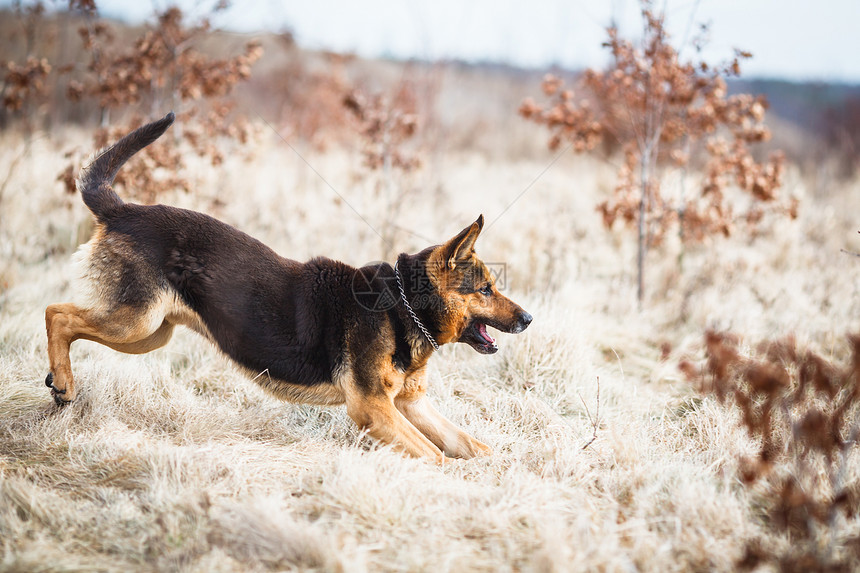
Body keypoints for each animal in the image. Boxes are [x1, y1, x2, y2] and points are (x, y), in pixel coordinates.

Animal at [47, 114, 536, 462]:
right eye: (486, 289)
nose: (530, 319)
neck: (401, 307)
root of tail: (123, 210)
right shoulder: (373, 409)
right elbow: (436, 456)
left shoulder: (412, 406)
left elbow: (470, 445)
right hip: (136, 323)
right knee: (57, 313)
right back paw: (64, 382)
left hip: (150, 334)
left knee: (65, 316)